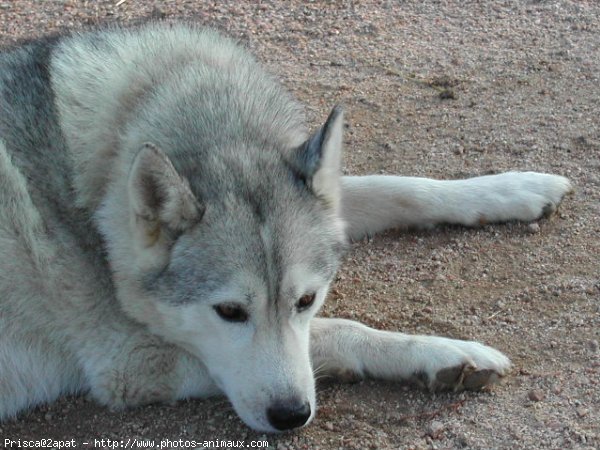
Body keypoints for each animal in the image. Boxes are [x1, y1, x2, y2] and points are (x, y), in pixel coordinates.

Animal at [0, 22, 572, 430]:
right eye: (229, 312)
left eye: (305, 299)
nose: (292, 417)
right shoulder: (130, 363)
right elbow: (344, 330)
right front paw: (444, 353)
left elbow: (400, 187)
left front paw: (514, 188)